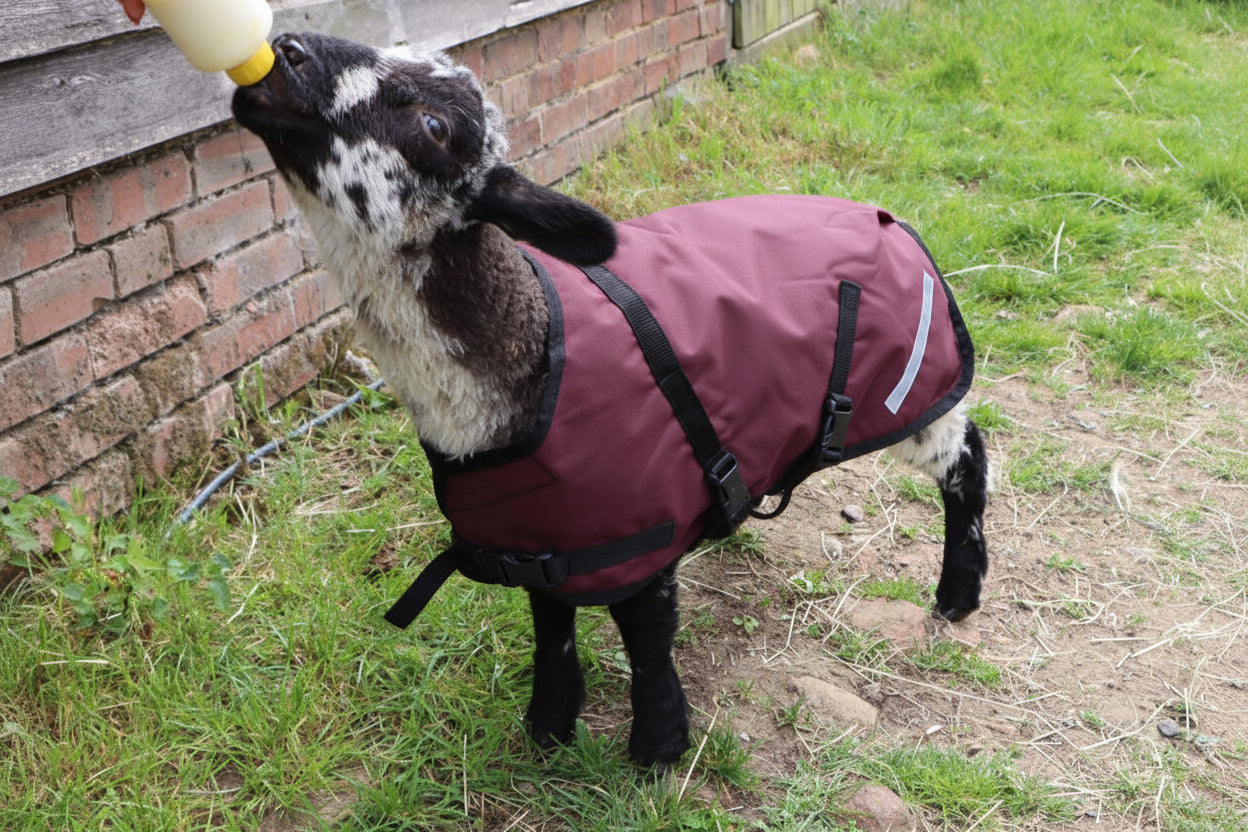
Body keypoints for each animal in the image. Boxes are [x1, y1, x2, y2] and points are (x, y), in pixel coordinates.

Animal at [231, 31, 990, 768]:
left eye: (433, 124)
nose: (286, 47)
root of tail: (884, 215)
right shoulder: (539, 536)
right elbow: (551, 625)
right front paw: (547, 729)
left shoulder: (642, 521)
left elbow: (646, 638)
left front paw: (658, 749)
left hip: (907, 384)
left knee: (967, 455)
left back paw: (959, 593)